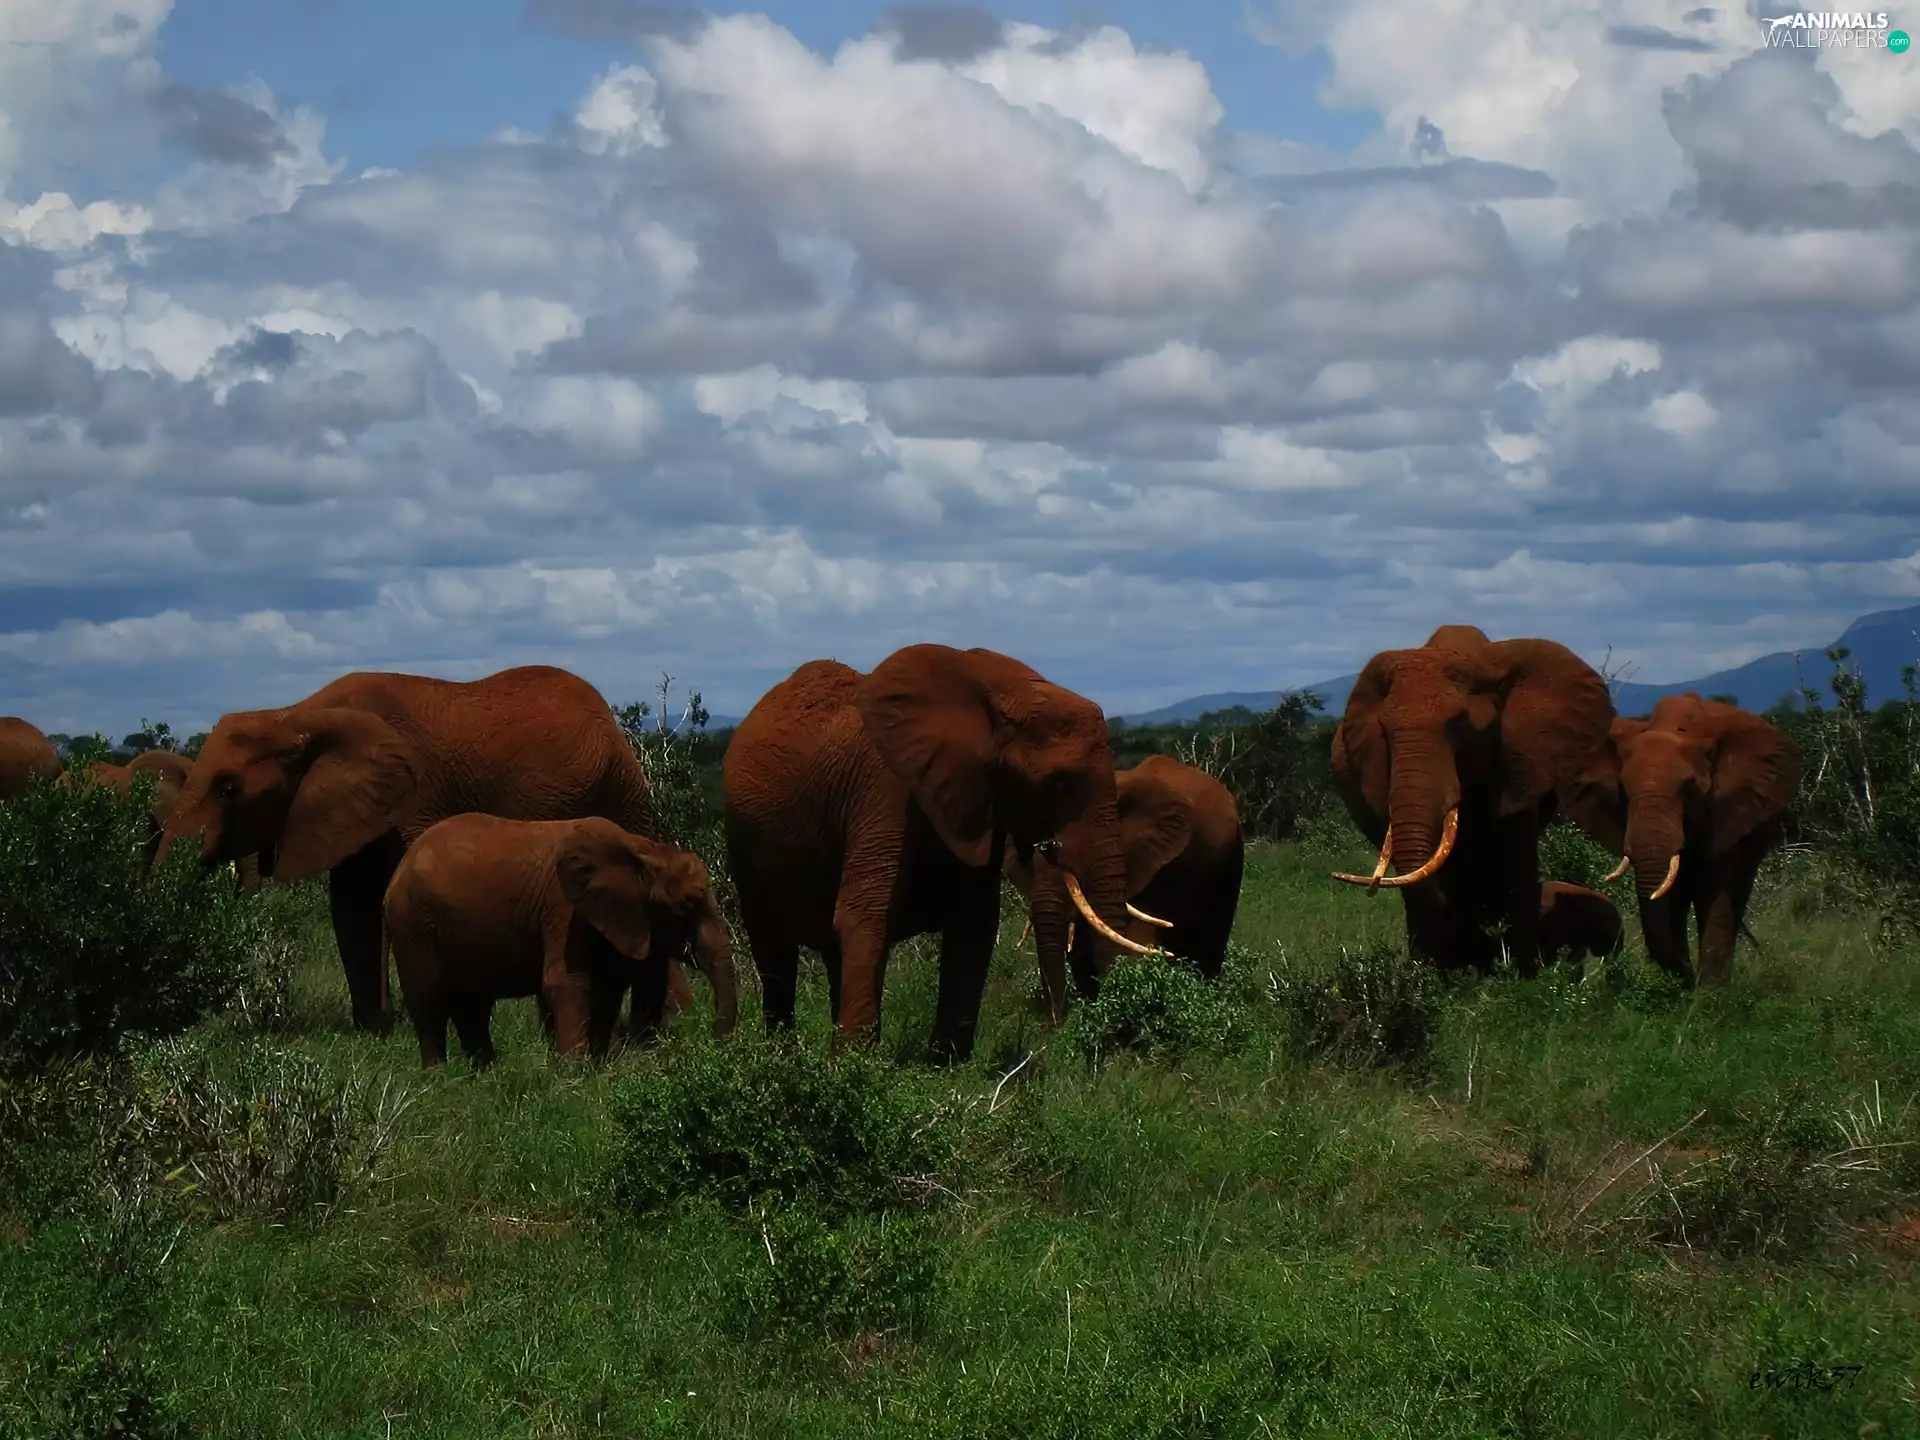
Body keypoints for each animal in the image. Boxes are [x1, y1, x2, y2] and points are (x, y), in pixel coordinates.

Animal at [158, 665, 704, 1035]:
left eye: (229, 789)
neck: (298, 714)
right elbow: (351, 906)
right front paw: (375, 1030)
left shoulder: (413, 797)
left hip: (621, 789)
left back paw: (676, 1020)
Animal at [384, 814, 736, 1068]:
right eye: (688, 906)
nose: (713, 1034)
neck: (642, 851)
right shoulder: (565, 911)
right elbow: (568, 982)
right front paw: (574, 1076)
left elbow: (621, 987)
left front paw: (602, 1065)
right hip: (412, 925)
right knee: (428, 1002)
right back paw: (439, 1077)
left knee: (472, 1006)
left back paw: (484, 1074)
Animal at [723, 645, 1156, 1062]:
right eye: (1060, 783)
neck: (988, 692)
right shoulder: (884, 787)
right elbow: (867, 915)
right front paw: (852, 1067)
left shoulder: (974, 801)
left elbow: (975, 922)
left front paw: (945, 1065)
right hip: (742, 838)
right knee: (771, 944)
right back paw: (782, 1054)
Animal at [1329, 625, 1616, 976]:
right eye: (1384, 733)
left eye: (1461, 726)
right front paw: (1442, 974)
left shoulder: (1519, 760)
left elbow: (1517, 861)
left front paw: (1524, 978)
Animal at [1563, 693, 1798, 985]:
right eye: (1622, 790)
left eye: (1690, 788)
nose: (1685, 978)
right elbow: (1671, 899)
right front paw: (1680, 987)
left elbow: (1716, 893)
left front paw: (1709, 993)